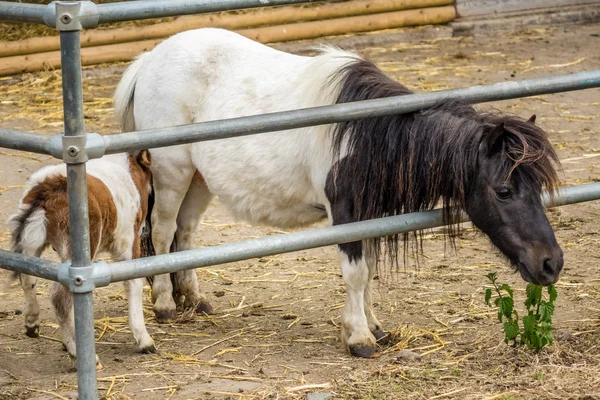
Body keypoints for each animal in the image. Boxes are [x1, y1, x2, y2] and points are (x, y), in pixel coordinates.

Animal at [8, 150, 156, 362]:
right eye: (151, 192)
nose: (145, 228)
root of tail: (46, 188)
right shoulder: (128, 242)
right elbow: (133, 280)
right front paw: (144, 341)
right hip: (80, 248)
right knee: (59, 296)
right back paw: (78, 351)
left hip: (30, 242)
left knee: (27, 278)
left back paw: (32, 324)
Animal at [115, 28, 564, 360]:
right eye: (503, 191)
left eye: (538, 187)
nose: (551, 264)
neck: (368, 134)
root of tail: (148, 60)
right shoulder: (346, 213)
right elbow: (356, 273)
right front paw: (359, 338)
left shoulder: (369, 214)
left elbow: (369, 272)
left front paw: (373, 326)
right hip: (173, 173)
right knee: (163, 231)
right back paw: (166, 304)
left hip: (200, 180)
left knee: (186, 233)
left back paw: (194, 299)